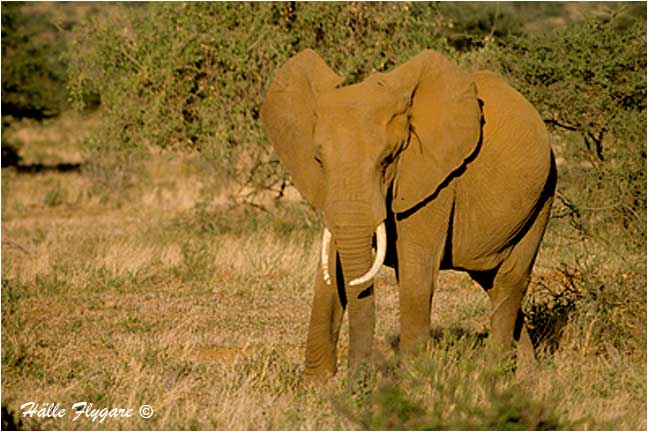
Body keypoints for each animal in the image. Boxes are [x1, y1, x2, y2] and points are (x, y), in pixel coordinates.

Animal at [261, 49, 556, 379]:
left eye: (387, 160)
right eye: (319, 160)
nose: (357, 375)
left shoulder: (437, 180)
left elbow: (416, 268)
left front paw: (414, 381)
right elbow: (331, 266)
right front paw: (316, 384)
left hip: (544, 194)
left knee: (509, 279)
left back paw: (496, 374)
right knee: (490, 280)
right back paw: (528, 375)